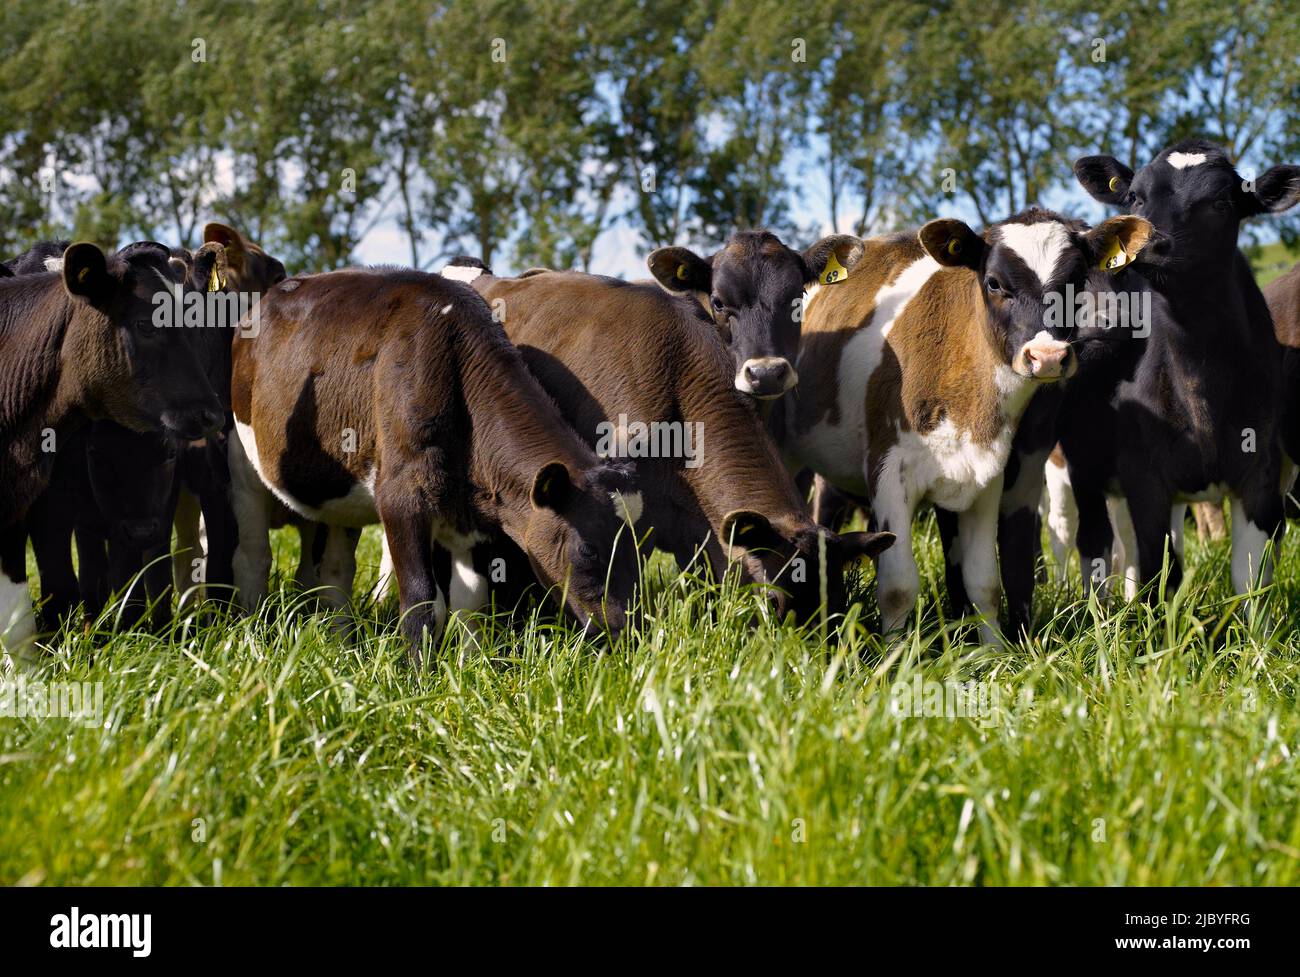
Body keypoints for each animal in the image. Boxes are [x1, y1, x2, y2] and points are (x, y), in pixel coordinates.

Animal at [227, 266, 642, 662]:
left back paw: (340, 643)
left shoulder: (468, 516)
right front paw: (417, 676)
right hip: (243, 460)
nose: (625, 631)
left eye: (637, 545)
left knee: (335, 569)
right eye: (588, 549)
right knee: (253, 557)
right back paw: (250, 635)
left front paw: (472, 665)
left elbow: (470, 599)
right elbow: (423, 604)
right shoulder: (401, 496)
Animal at [779, 209, 1153, 642]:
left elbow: (984, 581)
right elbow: (897, 586)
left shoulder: (986, 478)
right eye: (994, 282)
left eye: (1076, 282)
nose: (1046, 356)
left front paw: (994, 650)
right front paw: (894, 653)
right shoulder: (888, 472)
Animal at [1052, 139, 1300, 609]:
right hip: (1077, 463)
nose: (1148, 244)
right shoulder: (1144, 476)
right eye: (1135, 197)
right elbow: (1156, 571)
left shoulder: (1261, 472)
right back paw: (1096, 610)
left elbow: (1249, 582)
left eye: (1222, 203)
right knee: (1090, 539)